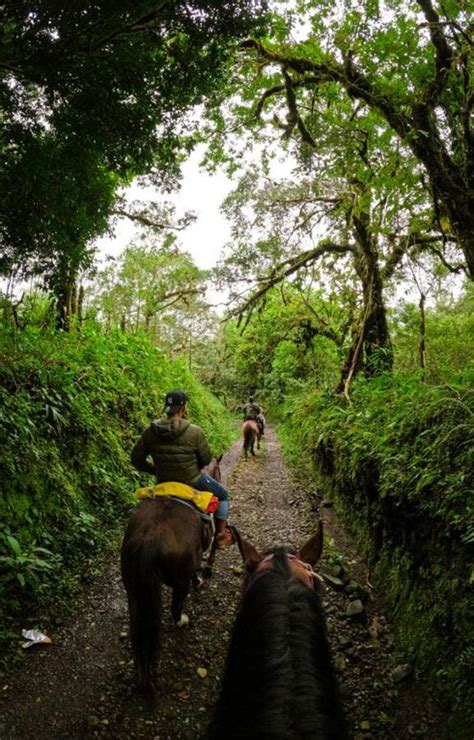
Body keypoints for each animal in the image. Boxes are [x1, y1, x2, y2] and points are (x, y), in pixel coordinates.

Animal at [119, 456, 221, 692]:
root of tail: (151, 537)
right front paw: (199, 580)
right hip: (178, 581)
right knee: (176, 606)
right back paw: (182, 621)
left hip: (133, 589)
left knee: (138, 628)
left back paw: (142, 677)